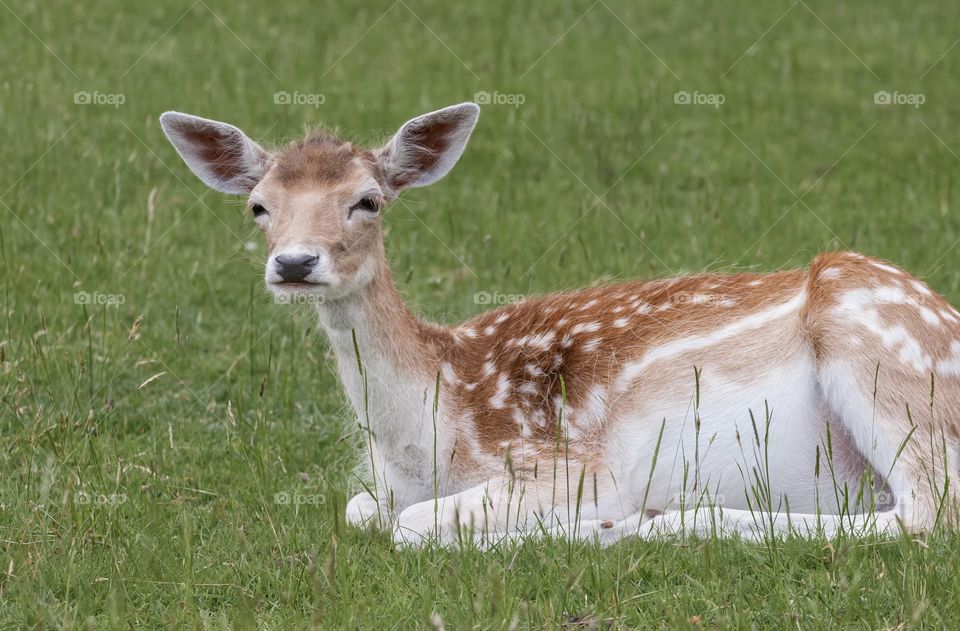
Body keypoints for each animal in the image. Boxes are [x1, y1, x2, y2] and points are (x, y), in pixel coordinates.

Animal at [160, 103, 960, 547]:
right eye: (258, 206)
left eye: (368, 200)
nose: (295, 262)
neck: (429, 441)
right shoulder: (379, 486)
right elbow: (359, 509)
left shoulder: (561, 459)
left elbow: (410, 527)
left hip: (880, 355)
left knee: (929, 512)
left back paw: (643, 522)